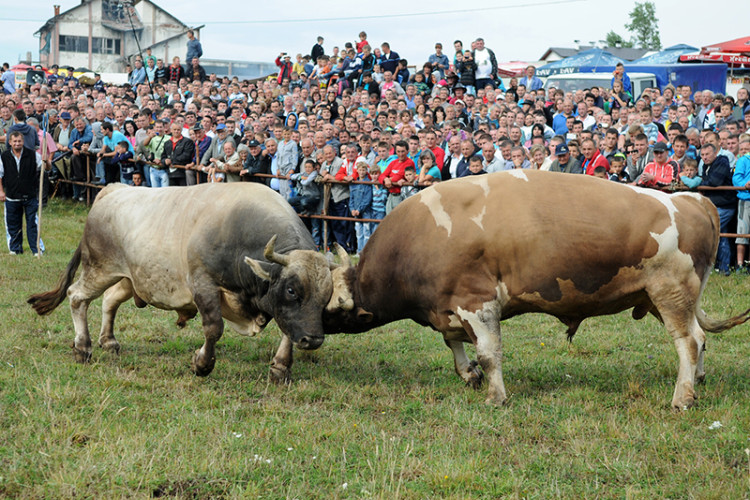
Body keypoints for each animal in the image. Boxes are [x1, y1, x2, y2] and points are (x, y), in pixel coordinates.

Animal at [29, 184, 340, 378]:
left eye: (326, 295)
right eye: (292, 290)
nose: (314, 339)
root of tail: (114, 189)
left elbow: (288, 329)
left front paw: (280, 367)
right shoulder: (203, 285)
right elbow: (213, 328)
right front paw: (202, 364)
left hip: (130, 278)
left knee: (109, 300)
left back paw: (109, 341)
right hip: (99, 268)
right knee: (76, 296)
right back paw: (83, 347)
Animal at [318, 171, 750, 410]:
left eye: (332, 306)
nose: (314, 333)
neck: (420, 236)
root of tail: (689, 198)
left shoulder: (477, 302)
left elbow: (489, 353)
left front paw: (495, 396)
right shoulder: (448, 307)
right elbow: (454, 344)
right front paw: (469, 375)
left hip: (670, 293)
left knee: (688, 341)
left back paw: (682, 398)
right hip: (667, 298)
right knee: (699, 340)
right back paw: (697, 381)